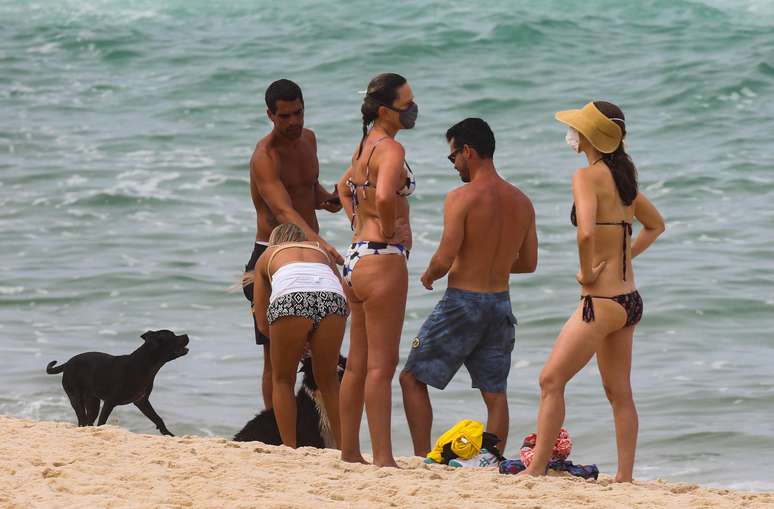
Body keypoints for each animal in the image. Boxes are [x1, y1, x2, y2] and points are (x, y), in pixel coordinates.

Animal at [46, 330, 189, 436]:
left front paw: (168, 434)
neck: (144, 364)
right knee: (82, 419)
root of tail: (67, 363)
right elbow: (102, 422)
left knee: (88, 420)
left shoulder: (141, 401)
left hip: (92, 402)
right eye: (173, 336)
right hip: (76, 397)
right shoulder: (110, 402)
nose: (186, 335)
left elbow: (158, 418)